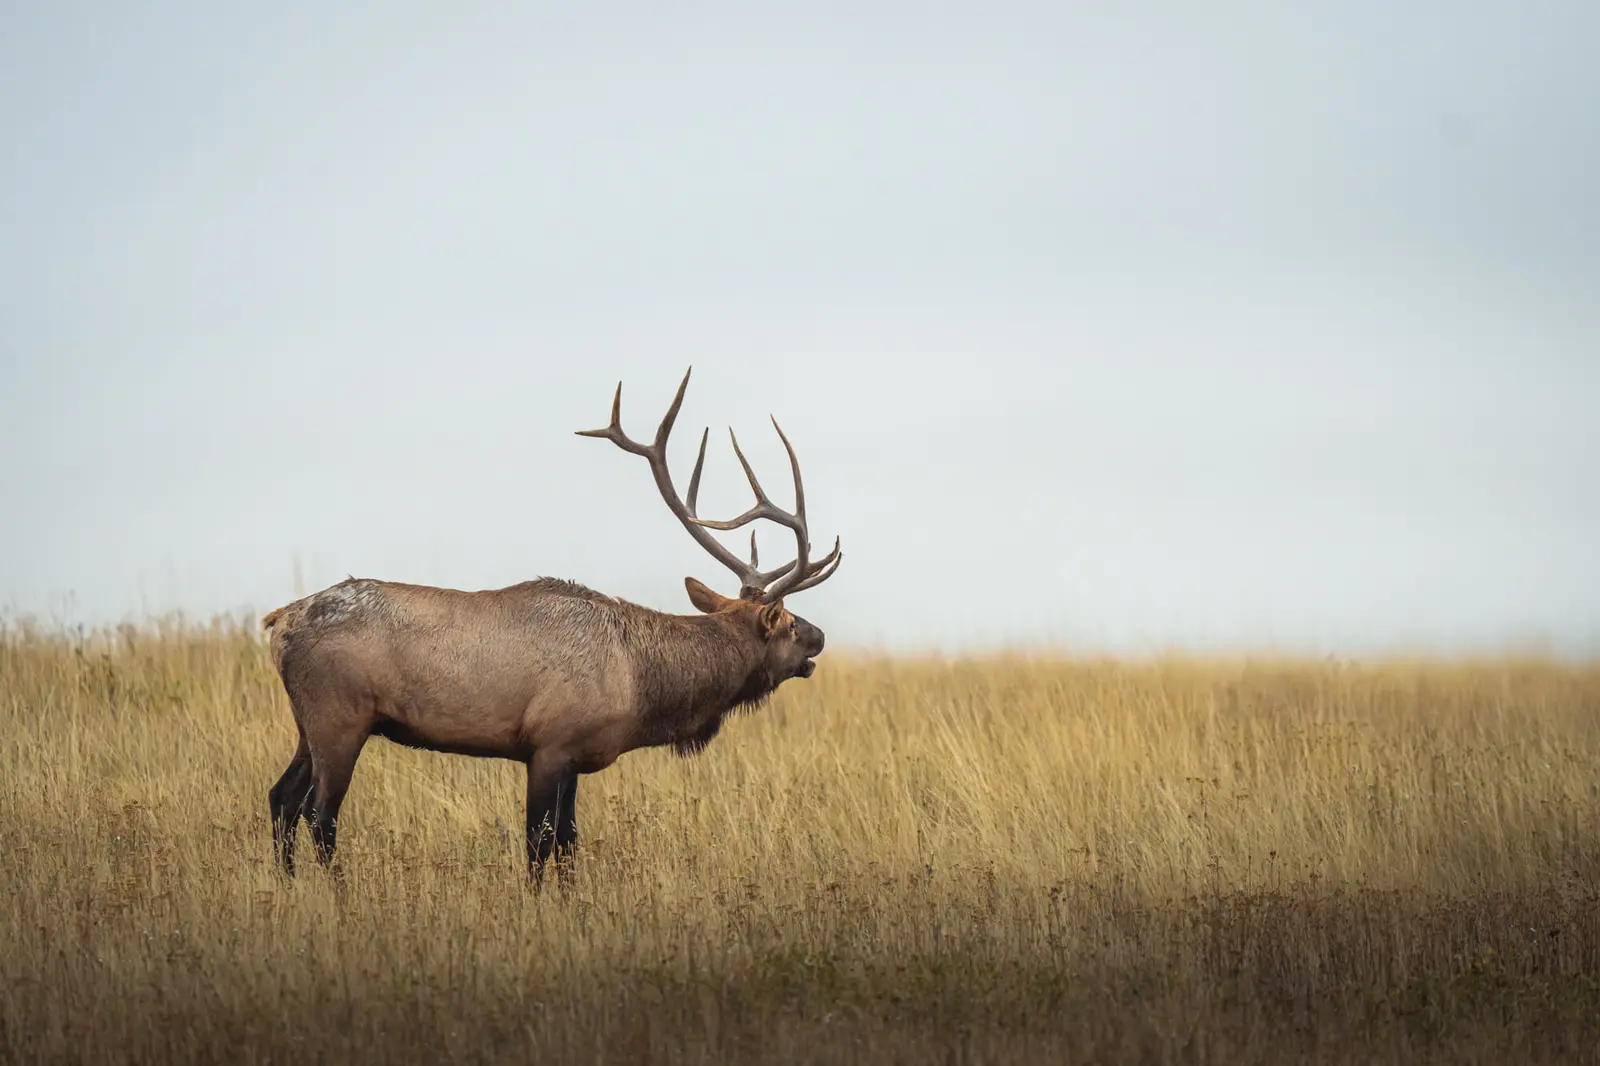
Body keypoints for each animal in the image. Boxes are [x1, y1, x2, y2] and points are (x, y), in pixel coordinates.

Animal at [261, 368, 841, 885]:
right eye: (790, 624)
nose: (820, 636)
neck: (641, 683)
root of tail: (278, 623)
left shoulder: (574, 761)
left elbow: (568, 846)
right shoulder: (550, 745)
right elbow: (539, 846)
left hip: (308, 724)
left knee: (281, 798)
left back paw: (288, 886)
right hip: (340, 717)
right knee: (320, 816)